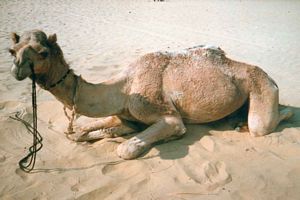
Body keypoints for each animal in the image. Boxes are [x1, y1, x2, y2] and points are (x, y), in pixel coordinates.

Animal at [9, 30, 292, 159]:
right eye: (12, 50)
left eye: (43, 52)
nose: (16, 69)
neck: (123, 88)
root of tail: (270, 77)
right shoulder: (124, 114)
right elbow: (79, 133)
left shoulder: (166, 115)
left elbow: (126, 148)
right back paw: (236, 122)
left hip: (262, 87)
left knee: (263, 124)